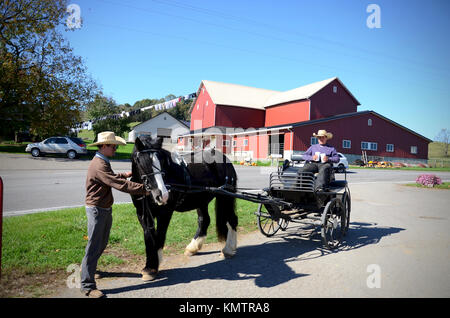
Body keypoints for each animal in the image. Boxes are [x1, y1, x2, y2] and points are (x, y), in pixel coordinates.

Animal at [130, 135, 239, 280]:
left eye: (161, 161)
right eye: (142, 161)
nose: (162, 195)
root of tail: (225, 159)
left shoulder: (165, 212)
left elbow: (160, 236)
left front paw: (154, 265)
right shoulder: (142, 213)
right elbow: (149, 236)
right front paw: (149, 267)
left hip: (225, 197)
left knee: (232, 219)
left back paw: (228, 249)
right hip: (201, 200)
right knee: (204, 220)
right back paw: (193, 247)